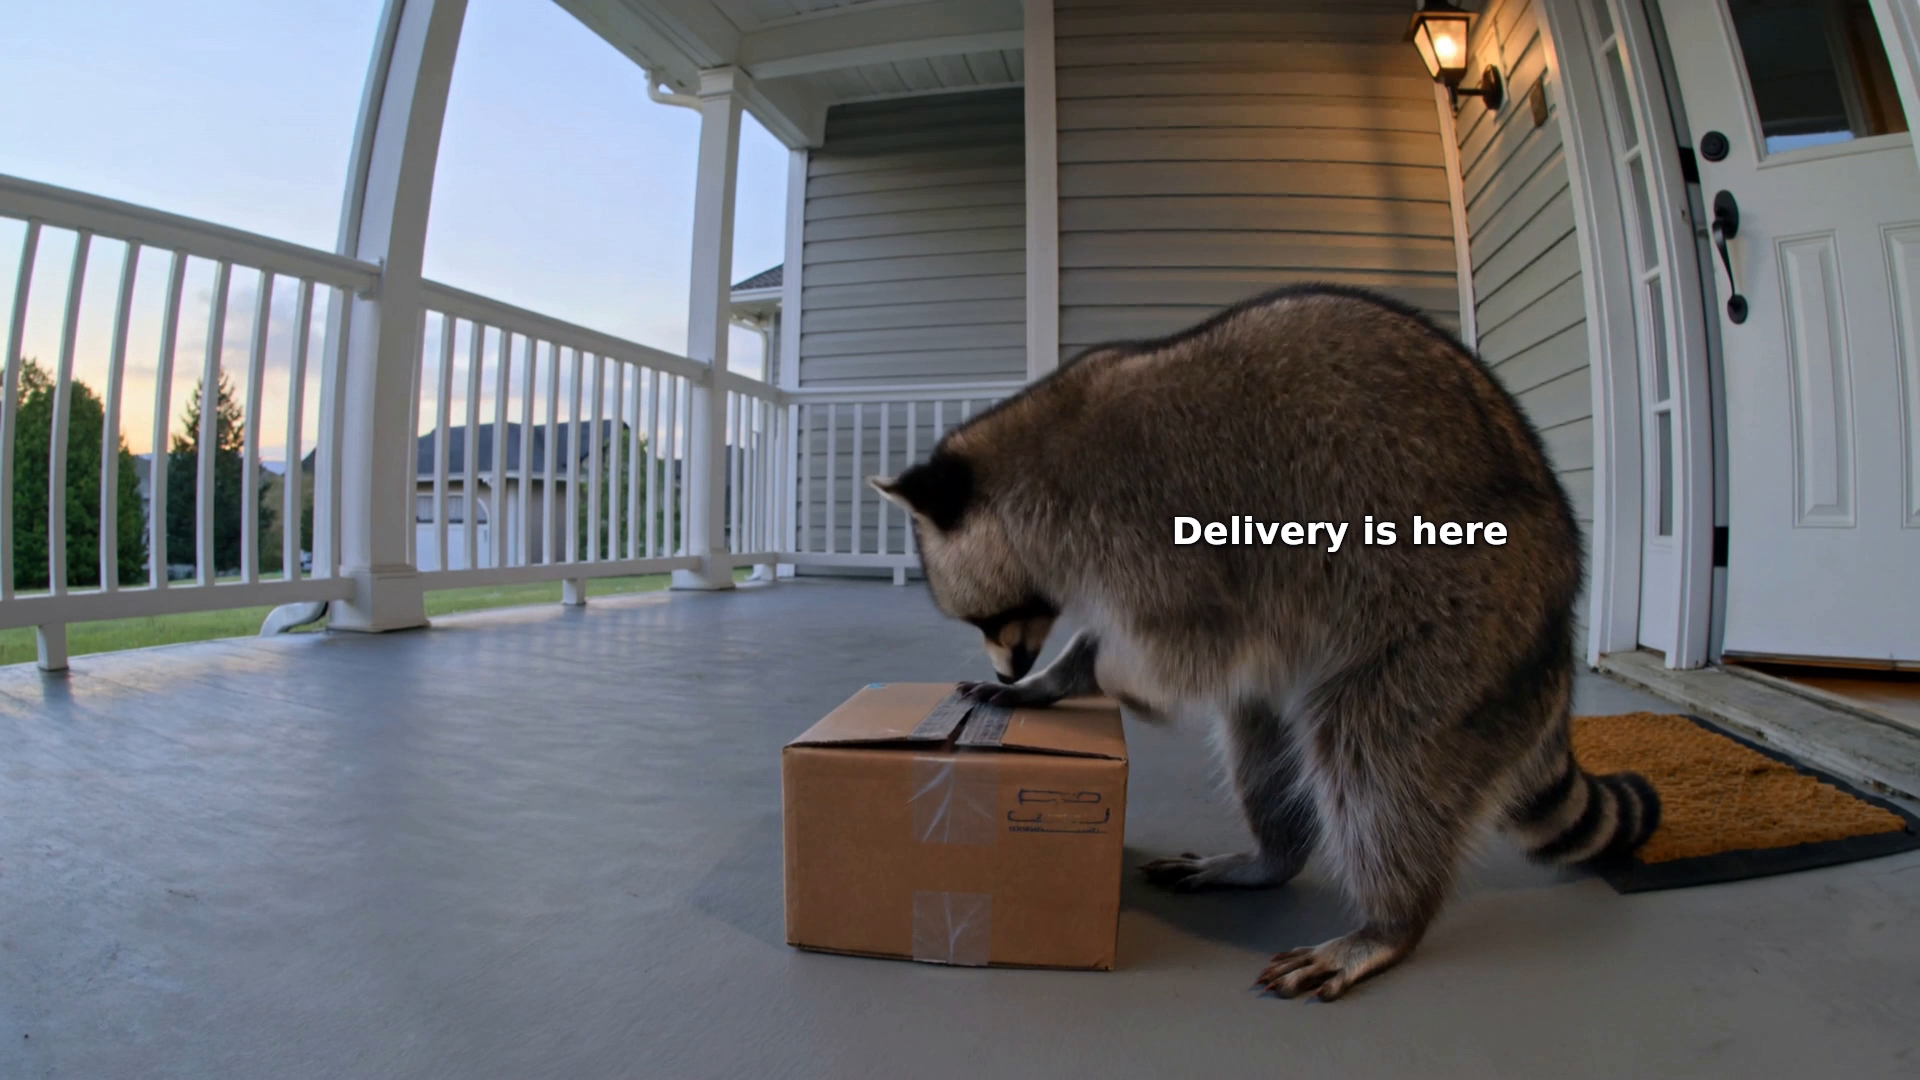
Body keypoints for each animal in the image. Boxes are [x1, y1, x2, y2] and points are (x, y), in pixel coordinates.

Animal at [870, 284, 1660, 1001]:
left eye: (986, 619)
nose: (1012, 667)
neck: (1030, 455)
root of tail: (1557, 626)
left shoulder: (1157, 533)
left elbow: (1185, 657)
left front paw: (1117, 678)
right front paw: (1055, 679)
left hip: (1464, 624)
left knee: (1372, 751)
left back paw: (1392, 919)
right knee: (1262, 739)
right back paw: (1273, 855)